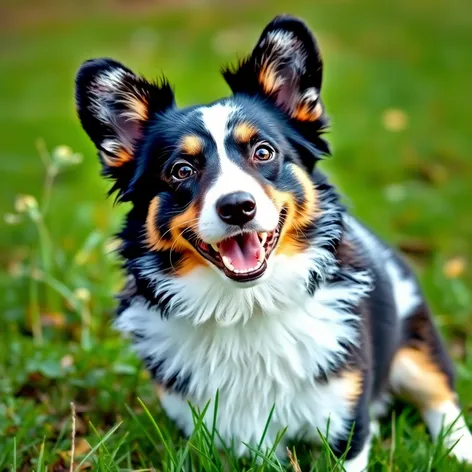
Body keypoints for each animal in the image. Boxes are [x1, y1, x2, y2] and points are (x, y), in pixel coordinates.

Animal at [74, 15, 472, 472]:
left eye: (263, 152)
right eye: (181, 170)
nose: (237, 207)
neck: (247, 305)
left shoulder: (346, 424)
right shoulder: (206, 431)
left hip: (415, 335)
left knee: (439, 394)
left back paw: (460, 449)